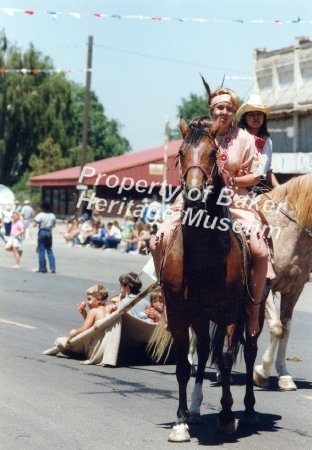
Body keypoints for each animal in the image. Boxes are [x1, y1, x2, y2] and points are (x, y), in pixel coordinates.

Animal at [156, 117, 266, 442]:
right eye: (181, 152)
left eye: (213, 152)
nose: (194, 193)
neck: (203, 256)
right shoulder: (181, 312)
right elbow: (184, 364)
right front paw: (181, 420)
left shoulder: (229, 312)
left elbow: (227, 359)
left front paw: (227, 416)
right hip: (200, 315)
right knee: (203, 352)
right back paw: (194, 409)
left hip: (253, 311)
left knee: (250, 349)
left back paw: (250, 411)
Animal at [254, 172, 312, 390]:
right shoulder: (263, 286)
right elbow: (276, 328)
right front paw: (261, 373)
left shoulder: (294, 290)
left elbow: (285, 329)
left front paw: (284, 375)